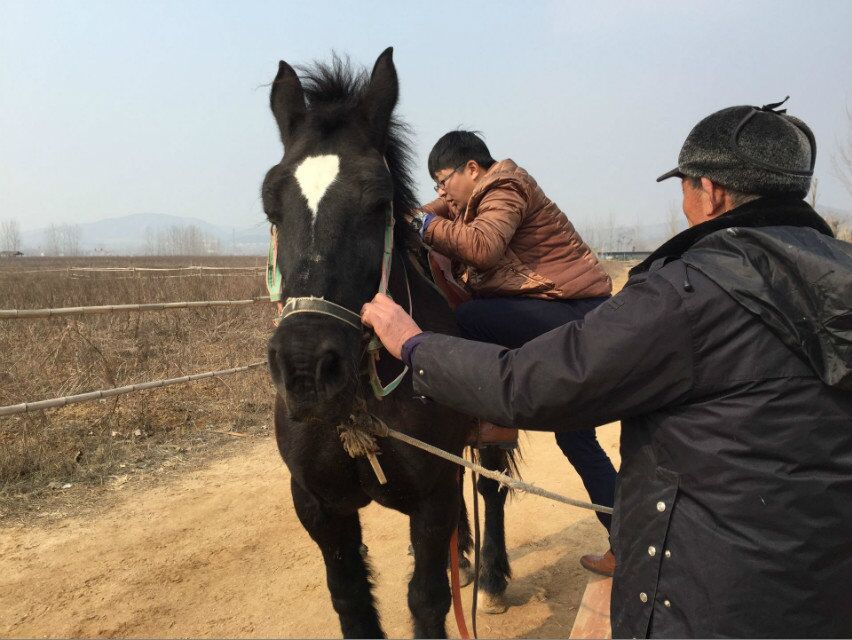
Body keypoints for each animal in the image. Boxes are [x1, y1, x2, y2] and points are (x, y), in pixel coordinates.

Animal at [262, 48, 516, 638]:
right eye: (270, 206)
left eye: (380, 204)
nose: (307, 368)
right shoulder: (318, 506)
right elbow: (351, 600)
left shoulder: (431, 496)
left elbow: (427, 599)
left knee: (489, 488)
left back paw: (491, 576)